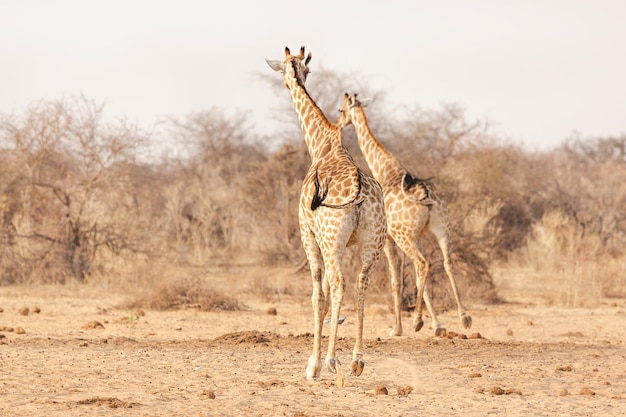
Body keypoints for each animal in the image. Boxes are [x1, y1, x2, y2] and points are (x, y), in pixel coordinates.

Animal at [264, 48, 386, 380]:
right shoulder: (339, 243)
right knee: (361, 283)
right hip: (372, 243)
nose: (287, 84)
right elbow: (329, 292)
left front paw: (313, 364)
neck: (321, 145)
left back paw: (332, 360)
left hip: (332, 240)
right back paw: (357, 359)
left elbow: (318, 295)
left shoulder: (308, 234)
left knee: (340, 283)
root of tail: (359, 192)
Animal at [334, 92, 470, 336]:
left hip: (404, 236)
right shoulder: (416, 236)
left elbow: (395, 279)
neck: (385, 169)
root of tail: (425, 195)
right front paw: (437, 324)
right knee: (446, 263)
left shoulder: (388, 239)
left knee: (423, 264)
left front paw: (397, 328)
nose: (338, 123)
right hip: (441, 230)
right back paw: (464, 318)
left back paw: (416, 320)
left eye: (341, 110)